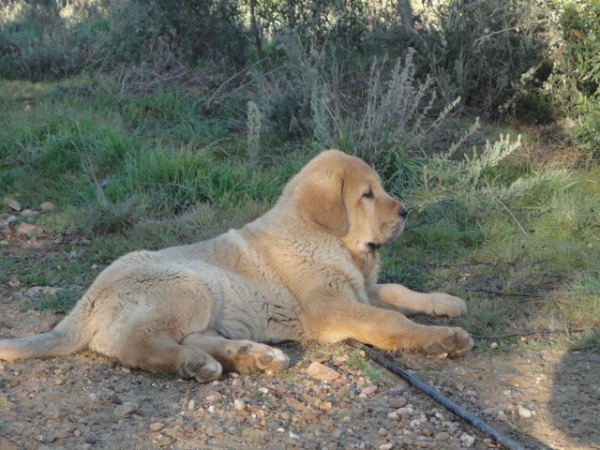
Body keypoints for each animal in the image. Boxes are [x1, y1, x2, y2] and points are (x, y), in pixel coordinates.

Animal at [0, 150, 474, 380]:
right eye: (368, 195)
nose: (407, 211)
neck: (325, 237)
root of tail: (89, 299)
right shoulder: (333, 306)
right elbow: (390, 320)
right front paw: (441, 338)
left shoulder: (359, 288)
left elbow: (396, 291)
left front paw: (446, 302)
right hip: (186, 286)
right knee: (136, 344)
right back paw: (197, 365)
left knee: (194, 338)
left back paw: (251, 356)